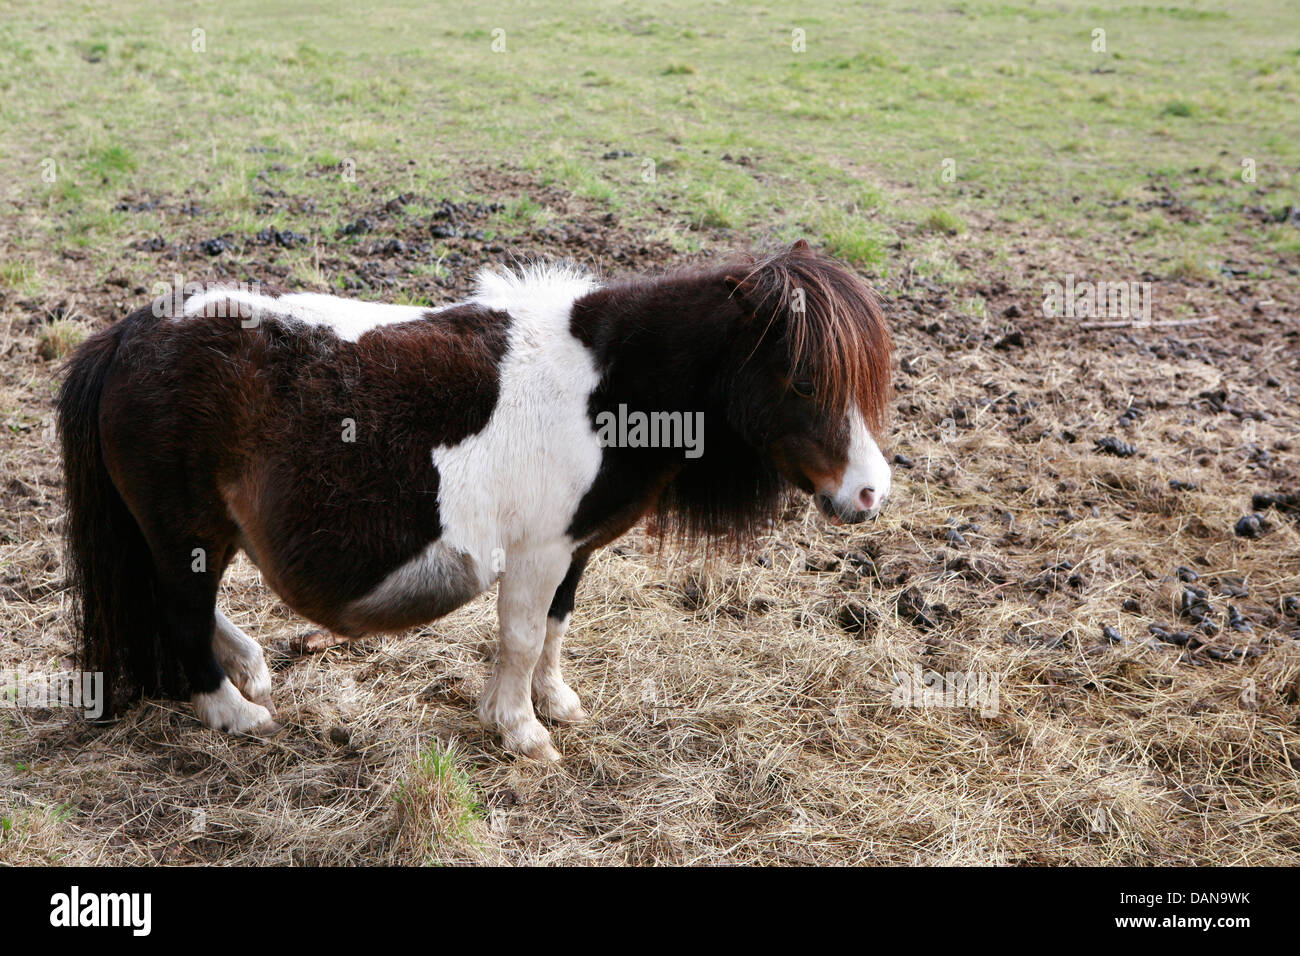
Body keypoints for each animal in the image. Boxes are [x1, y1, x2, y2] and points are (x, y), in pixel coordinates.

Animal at [61, 240, 894, 764]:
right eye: (804, 380)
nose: (870, 493)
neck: (607, 385)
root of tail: (125, 337)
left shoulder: (571, 549)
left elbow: (555, 628)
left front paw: (552, 702)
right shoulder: (539, 552)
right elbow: (520, 636)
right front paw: (520, 731)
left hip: (206, 533)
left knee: (190, 610)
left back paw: (254, 670)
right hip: (185, 534)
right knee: (180, 613)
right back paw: (237, 712)